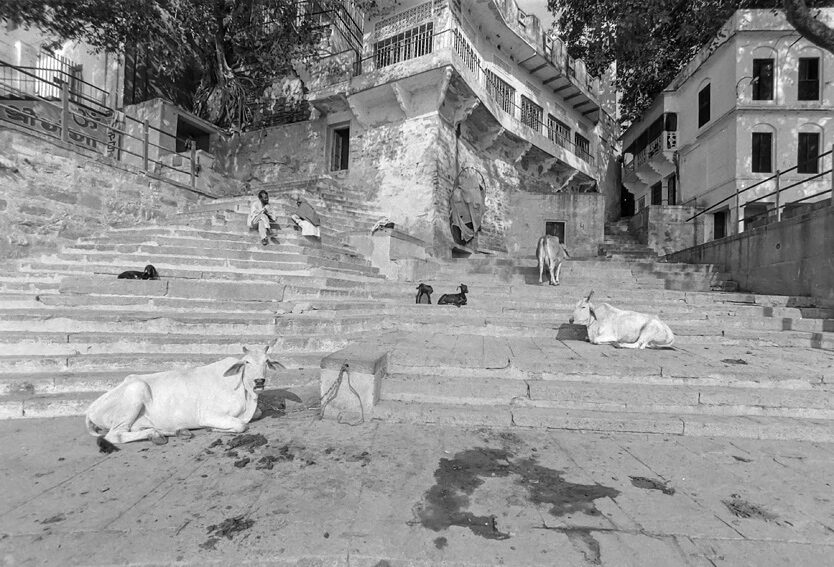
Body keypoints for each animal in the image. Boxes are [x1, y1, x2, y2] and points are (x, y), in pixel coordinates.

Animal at [85, 342, 286, 452]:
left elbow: (258, 413)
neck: (246, 393)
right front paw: (214, 429)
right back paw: (156, 434)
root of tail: (90, 410)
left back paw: (174, 431)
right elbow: (241, 425)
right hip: (136, 390)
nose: (259, 381)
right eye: (247, 362)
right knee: (115, 435)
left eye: (267, 362)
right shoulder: (208, 414)